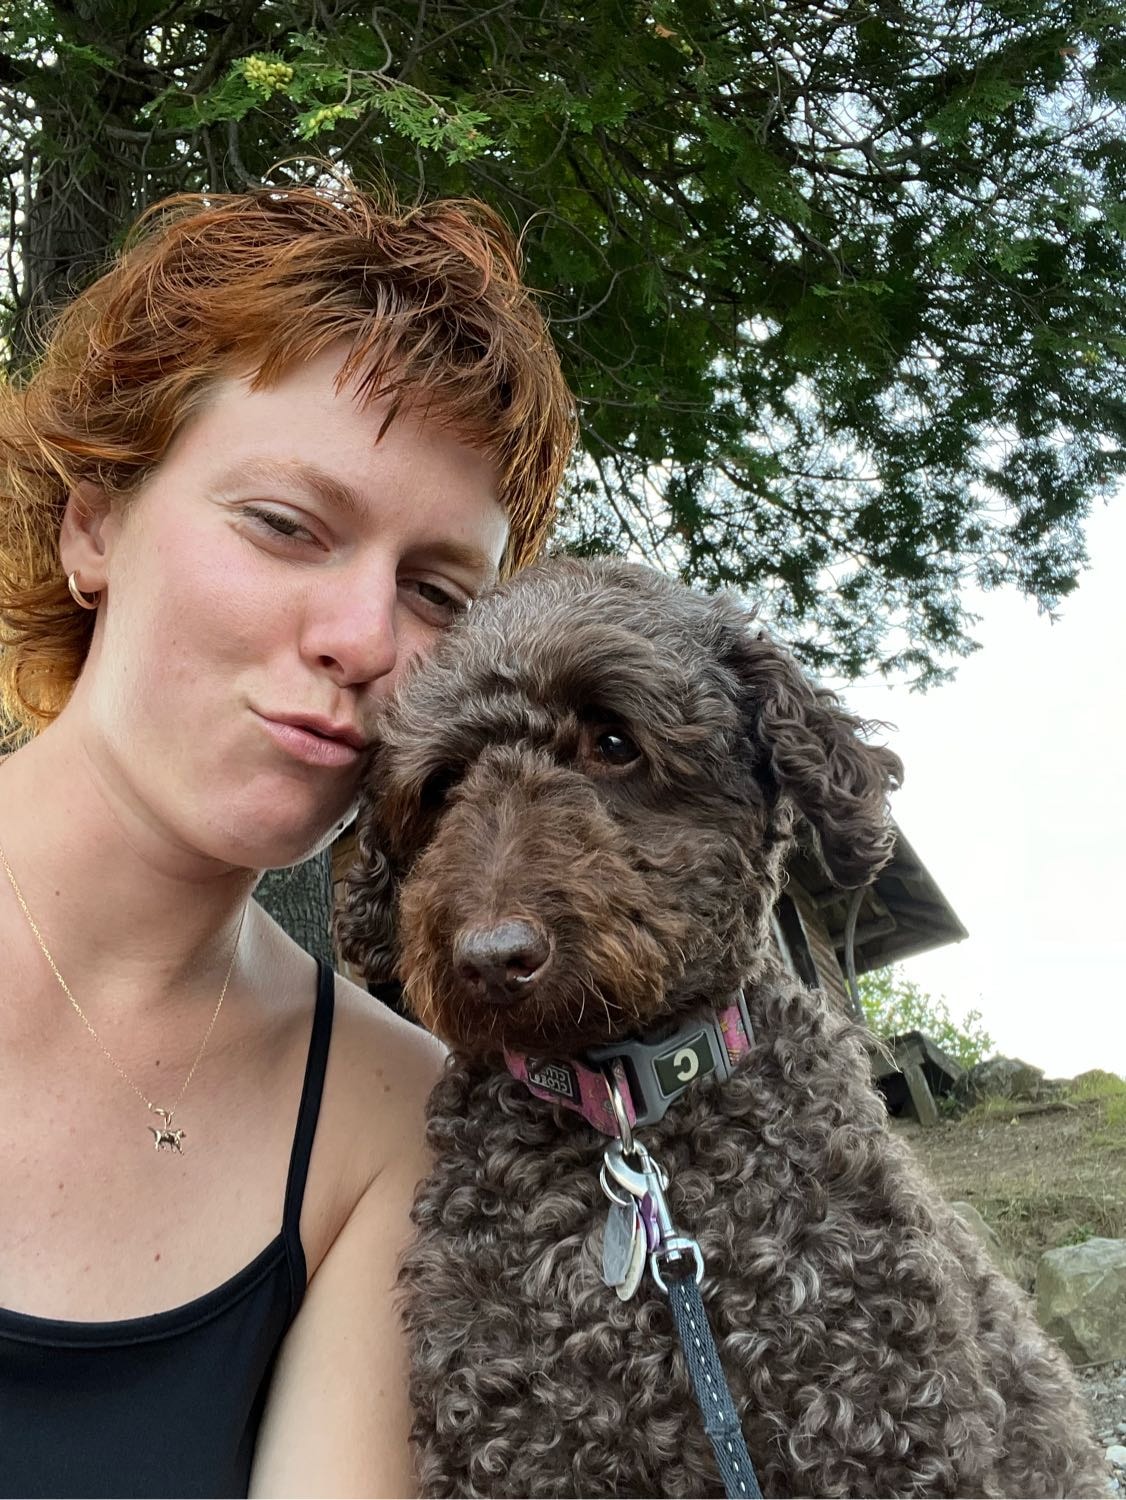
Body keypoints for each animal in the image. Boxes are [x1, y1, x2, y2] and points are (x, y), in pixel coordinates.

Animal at [340, 557, 1107, 1498]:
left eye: (615, 742)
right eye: (441, 786)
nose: (491, 958)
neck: (626, 1105)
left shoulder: (889, 1428)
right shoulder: (510, 1446)